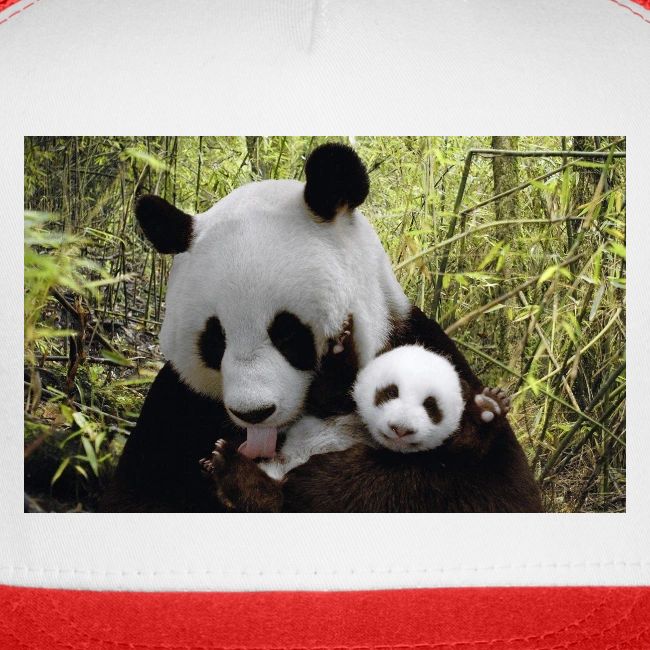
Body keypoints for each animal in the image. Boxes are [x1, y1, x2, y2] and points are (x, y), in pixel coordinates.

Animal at [101, 143, 541, 513]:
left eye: (287, 333)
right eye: (215, 340)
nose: (254, 413)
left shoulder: (422, 347)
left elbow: (489, 488)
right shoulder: (178, 405)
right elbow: (137, 493)